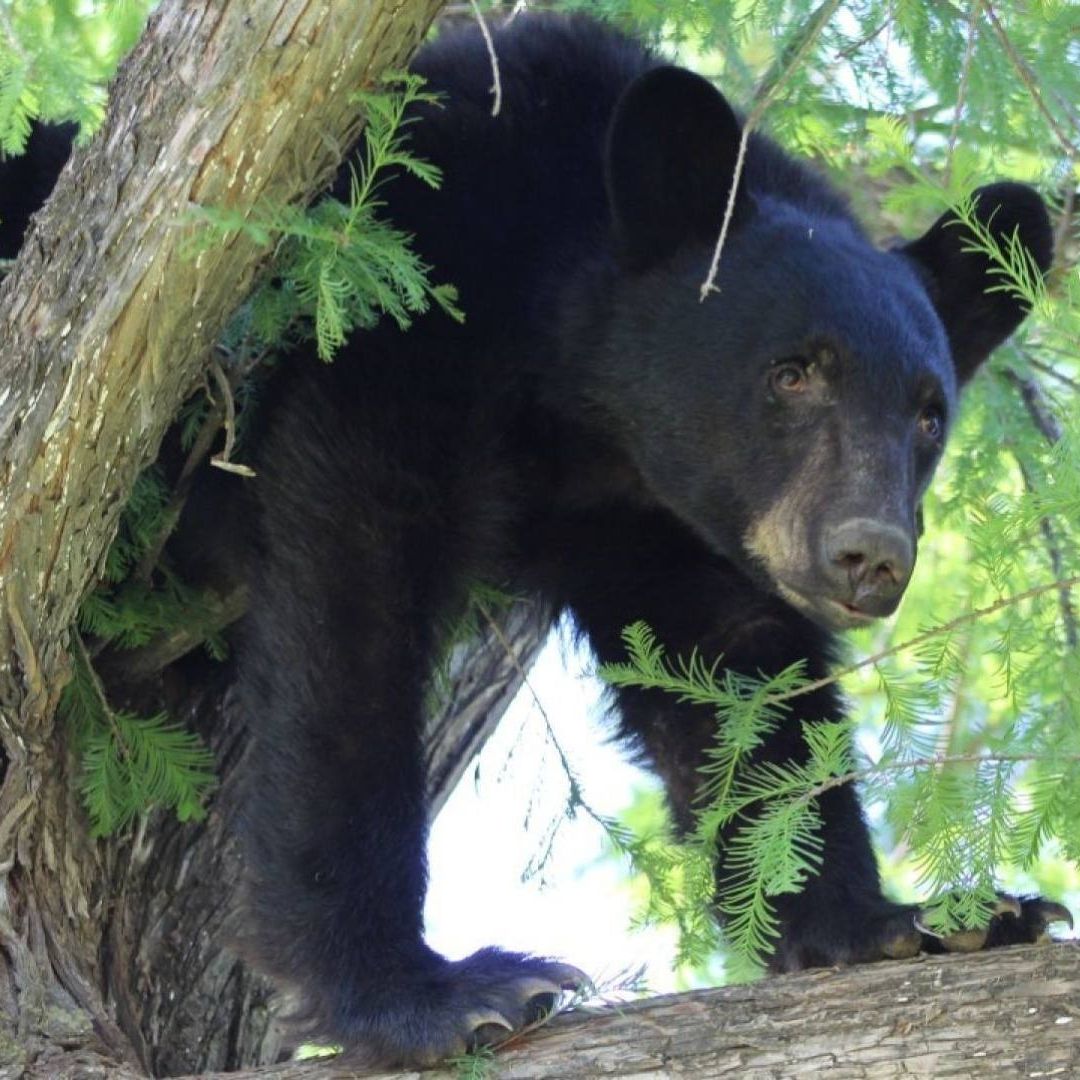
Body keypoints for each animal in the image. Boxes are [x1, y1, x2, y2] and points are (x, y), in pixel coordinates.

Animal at [0, 10, 1065, 1070]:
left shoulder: (661, 519)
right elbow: (351, 611)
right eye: (793, 372)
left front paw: (903, 919)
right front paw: (428, 992)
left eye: (928, 414)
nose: (869, 555)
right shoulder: (403, 302)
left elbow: (740, 682)